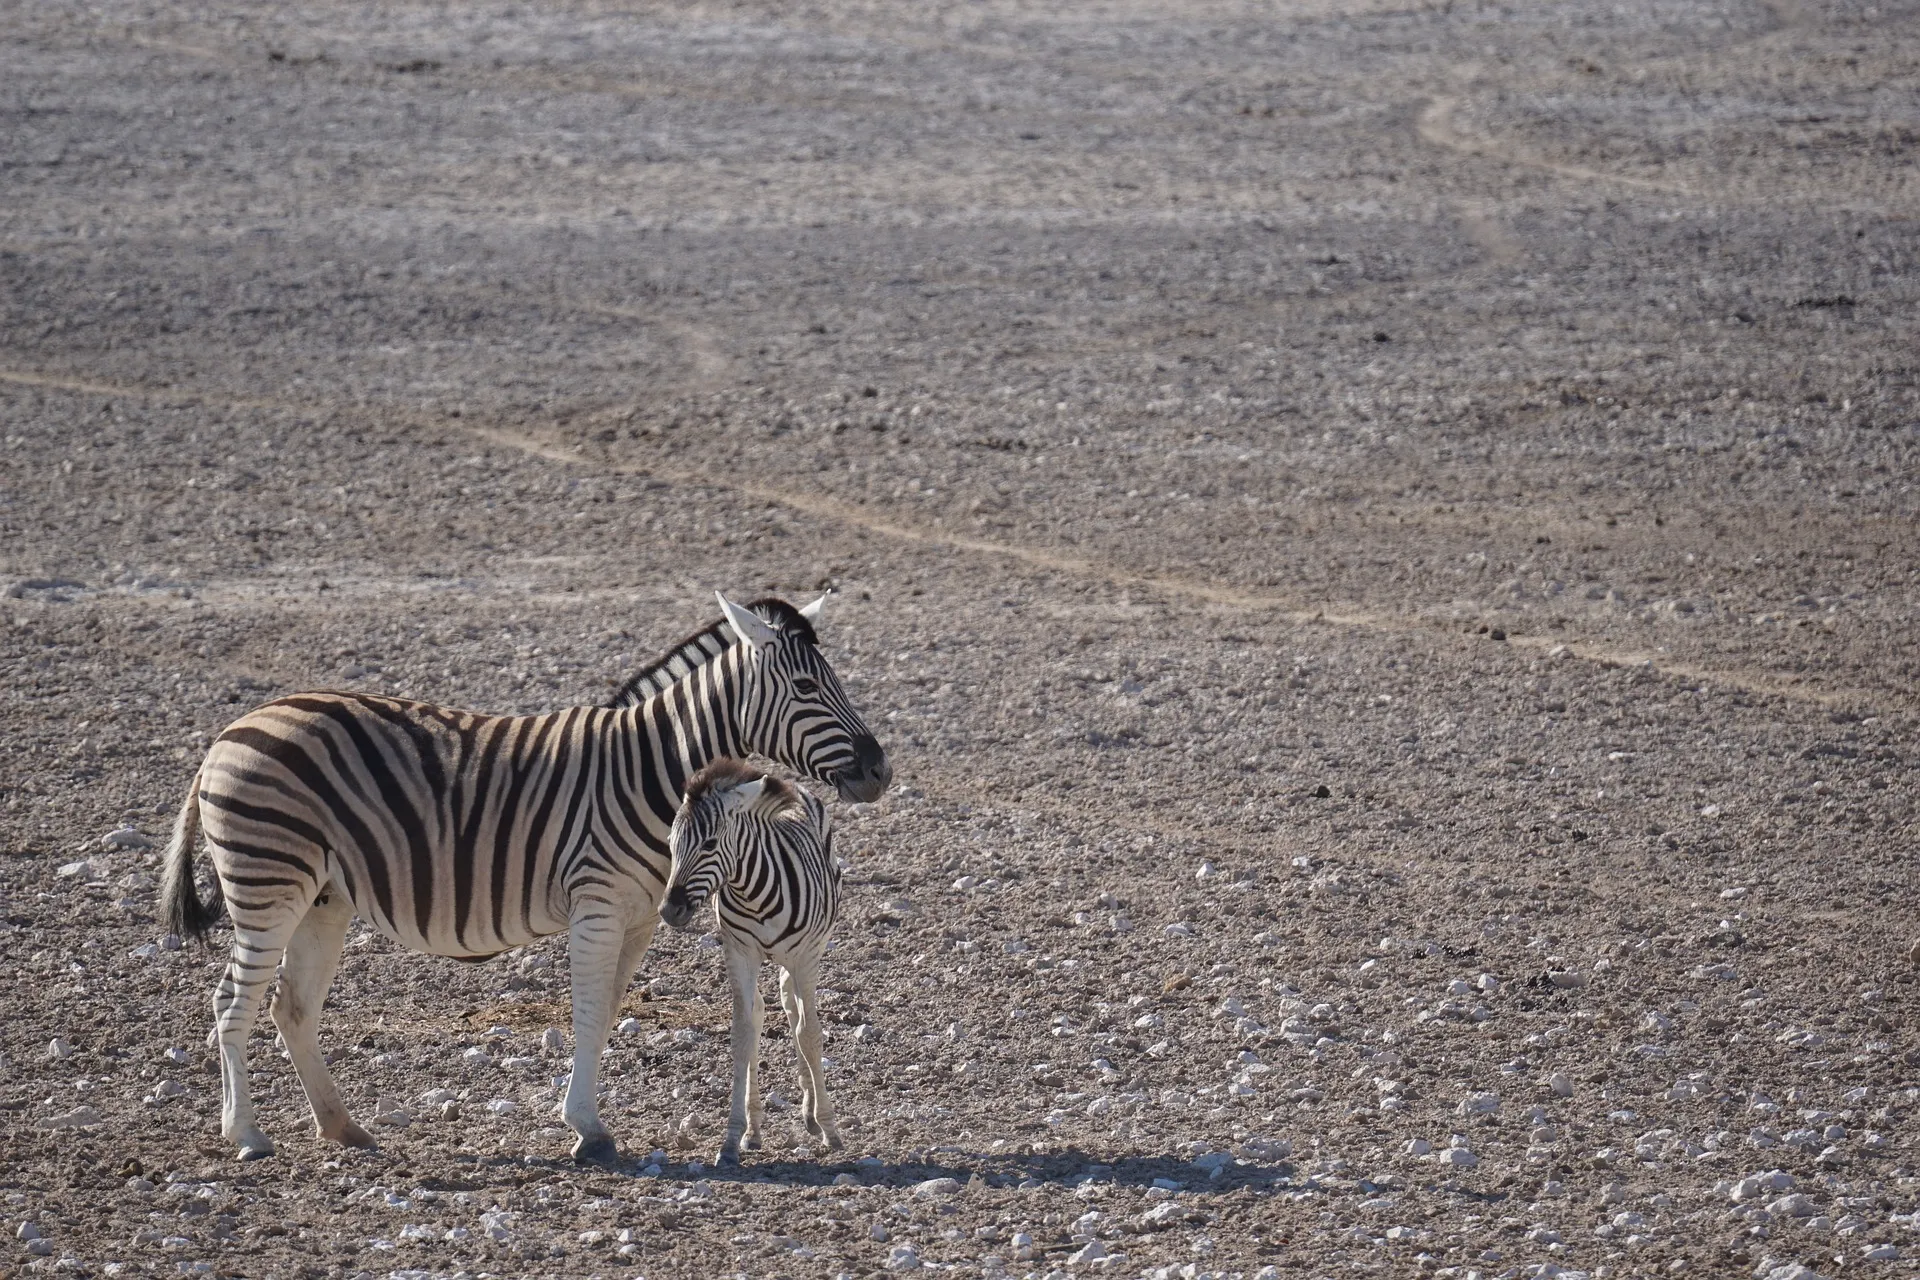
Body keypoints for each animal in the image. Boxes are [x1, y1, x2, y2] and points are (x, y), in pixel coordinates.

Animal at [660, 767, 840, 1166]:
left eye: (710, 844)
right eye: (670, 845)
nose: (669, 910)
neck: (754, 893)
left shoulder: (804, 957)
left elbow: (810, 1034)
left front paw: (829, 1127)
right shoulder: (739, 951)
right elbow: (744, 1035)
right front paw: (732, 1137)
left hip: (809, 952)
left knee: (796, 1013)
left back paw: (812, 1114)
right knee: (766, 1011)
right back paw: (757, 1128)